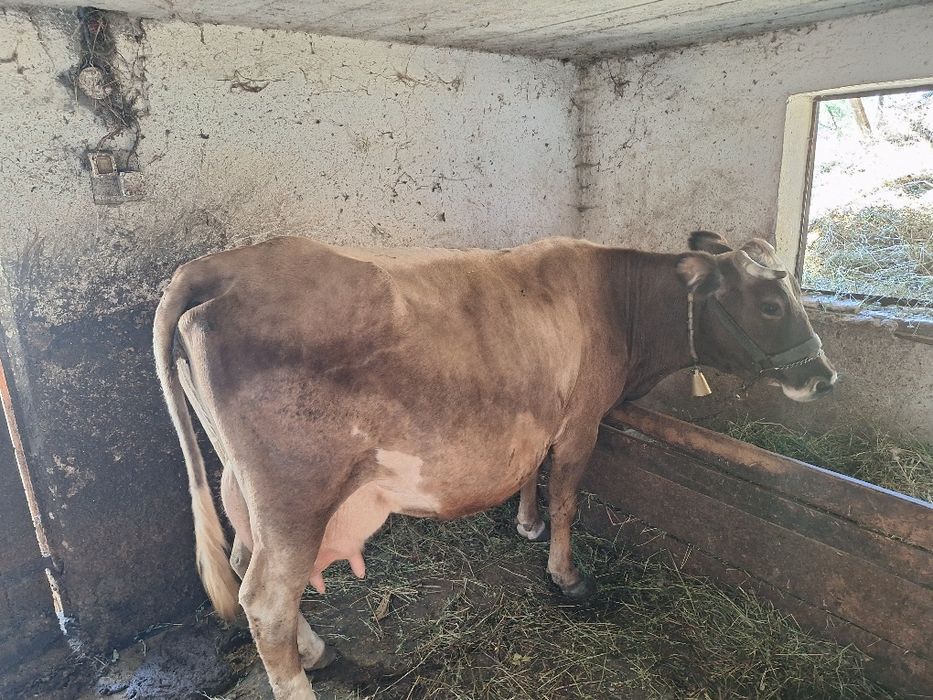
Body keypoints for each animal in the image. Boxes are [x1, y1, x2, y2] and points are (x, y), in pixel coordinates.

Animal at [154, 231, 835, 699]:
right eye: (772, 305)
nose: (825, 377)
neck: (617, 301)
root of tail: (215, 267)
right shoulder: (582, 421)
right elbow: (568, 499)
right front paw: (566, 574)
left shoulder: (538, 416)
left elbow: (532, 471)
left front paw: (527, 524)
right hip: (295, 494)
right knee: (266, 598)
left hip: (239, 481)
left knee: (243, 561)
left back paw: (315, 649)